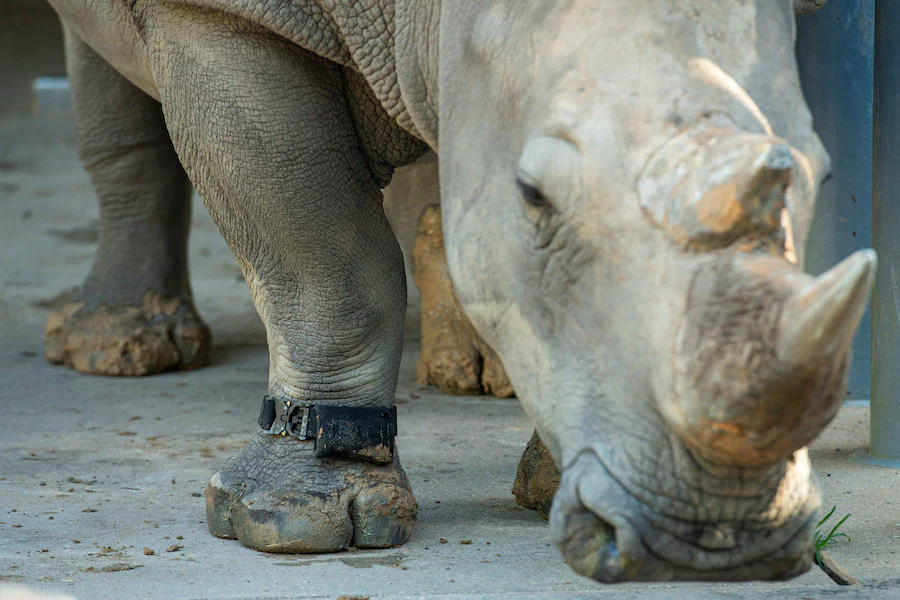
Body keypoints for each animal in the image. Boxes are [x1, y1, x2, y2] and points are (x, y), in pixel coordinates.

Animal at [43, 0, 874, 583]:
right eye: (534, 195)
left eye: (822, 172)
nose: (711, 541)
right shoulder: (228, 14)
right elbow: (321, 251)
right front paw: (295, 520)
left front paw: (547, 484)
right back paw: (122, 352)